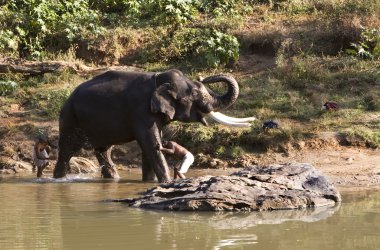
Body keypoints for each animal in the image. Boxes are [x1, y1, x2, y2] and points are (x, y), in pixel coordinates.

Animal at [52, 69, 251, 183]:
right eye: (195, 93)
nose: (203, 77)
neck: (159, 79)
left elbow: (150, 145)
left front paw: (149, 182)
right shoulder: (140, 111)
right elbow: (149, 142)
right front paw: (166, 182)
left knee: (103, 151)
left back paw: (114, 179)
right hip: (69, 118)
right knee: (67, 150)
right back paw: (58, 179)